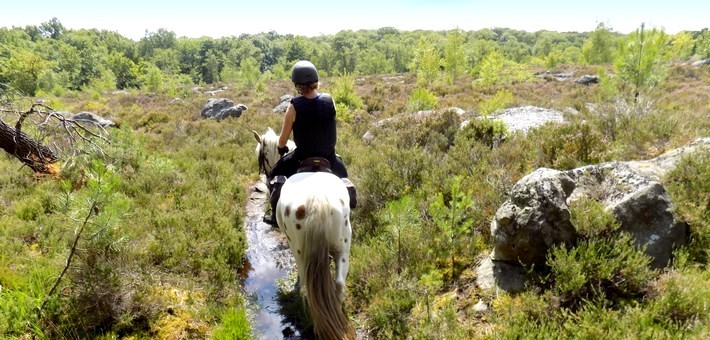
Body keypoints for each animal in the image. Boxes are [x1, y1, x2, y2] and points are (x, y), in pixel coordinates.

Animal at [254, 129, 358, 338]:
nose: (266, 177)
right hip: (343, 248)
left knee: (308, 284)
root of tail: (318, 201)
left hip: (300, 251)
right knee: (339, 284)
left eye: (262, 157)